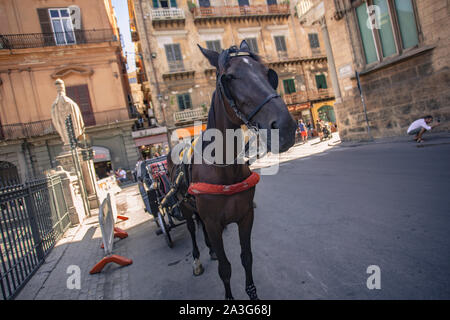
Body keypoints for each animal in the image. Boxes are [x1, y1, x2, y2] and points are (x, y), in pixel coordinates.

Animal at [167, 40, 298, 300]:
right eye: (229, 77)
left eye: (268, 73)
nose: (286, 127)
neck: (224, 168)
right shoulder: (213, 223)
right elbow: (225, 268)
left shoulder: (245, 217)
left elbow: (246, 258)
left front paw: (253, 294)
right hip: (185, 208)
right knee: (191, 229)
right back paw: (197, 259)